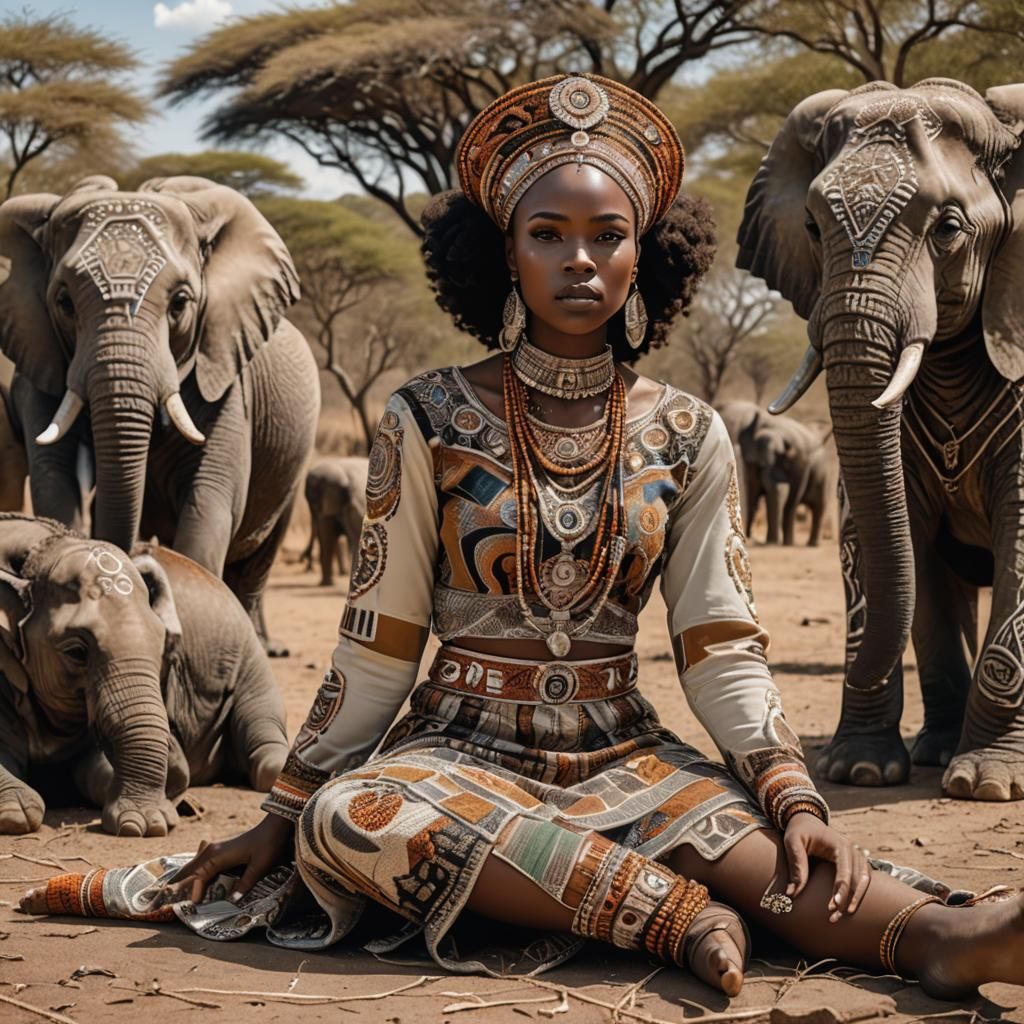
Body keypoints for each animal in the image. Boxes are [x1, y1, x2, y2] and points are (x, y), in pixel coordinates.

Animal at [0, 176, 321, 655]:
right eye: (64, 303)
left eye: (180, 303)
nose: (134, 556)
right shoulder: (42, 358)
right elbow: (54, 482)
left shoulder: (226, 372)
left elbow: (209, 498)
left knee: (256, 563)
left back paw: (266, 647)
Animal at [0, 514, 289, 836]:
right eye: (76, 652)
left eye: (162, 645)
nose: (174, 741)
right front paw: (17, 811)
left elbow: (92, 767)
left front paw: (149, 820)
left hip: (250, 660)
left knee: (264, 737)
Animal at [737, 77, 1024, 801]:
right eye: (813, 227)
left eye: (948, 228)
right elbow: (880, 540)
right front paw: (861, 771)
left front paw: (986, 784)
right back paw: (932, 751)